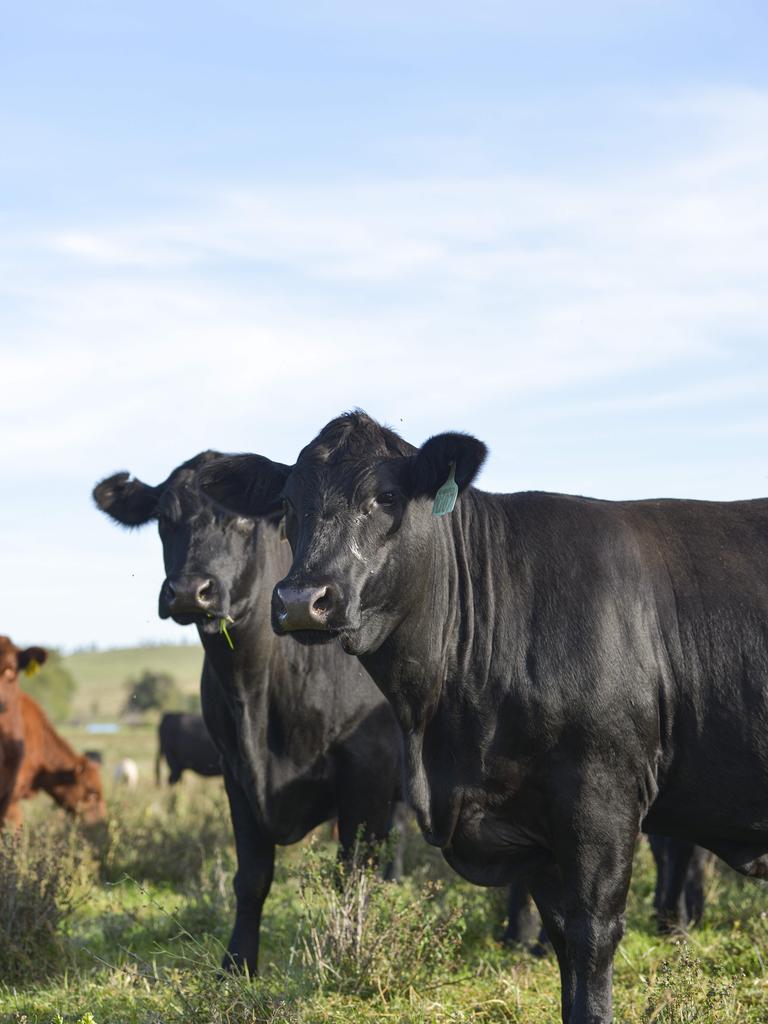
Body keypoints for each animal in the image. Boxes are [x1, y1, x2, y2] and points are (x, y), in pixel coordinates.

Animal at [94, 452, 405, 970]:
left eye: (241, 519)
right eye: (164, 518)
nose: (188, 591)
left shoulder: (369, 772)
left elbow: (352, 877)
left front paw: (348, 954)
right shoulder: (235, 771)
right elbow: (252, 876)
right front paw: (236, 963)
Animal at [201, 409, 768, 1024]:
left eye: (386, 495)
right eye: (286, 504)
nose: (302, 600)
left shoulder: (602, 796)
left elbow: (593, 936)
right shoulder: (533, 824)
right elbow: (562, 938)